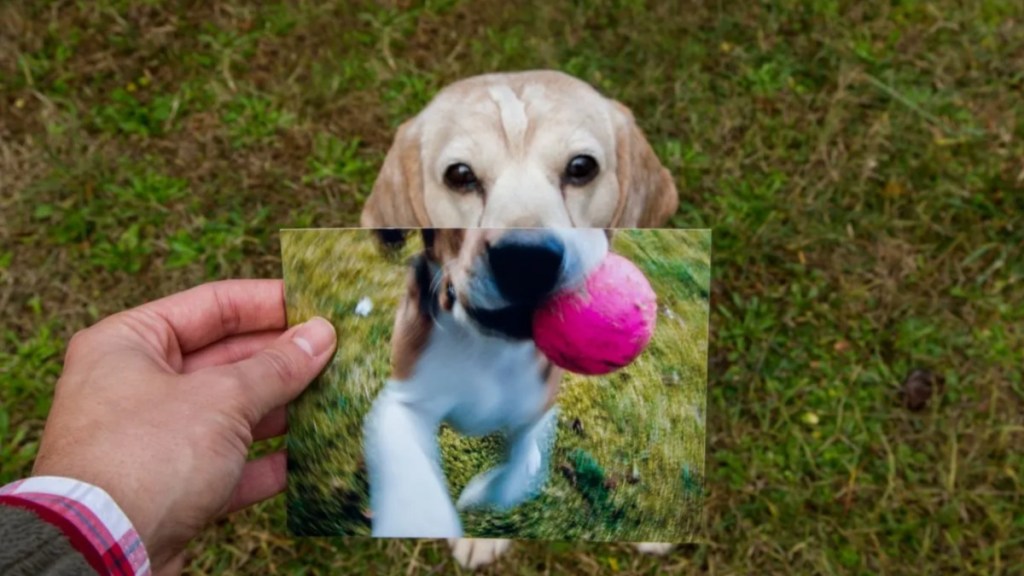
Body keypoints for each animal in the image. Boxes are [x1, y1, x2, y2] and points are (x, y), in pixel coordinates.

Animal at [356, 69, 675, 565]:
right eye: (460, 175)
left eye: (581, 167)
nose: (526, 259)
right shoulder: (401, 401)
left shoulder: (536, 409)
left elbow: (519, 466)